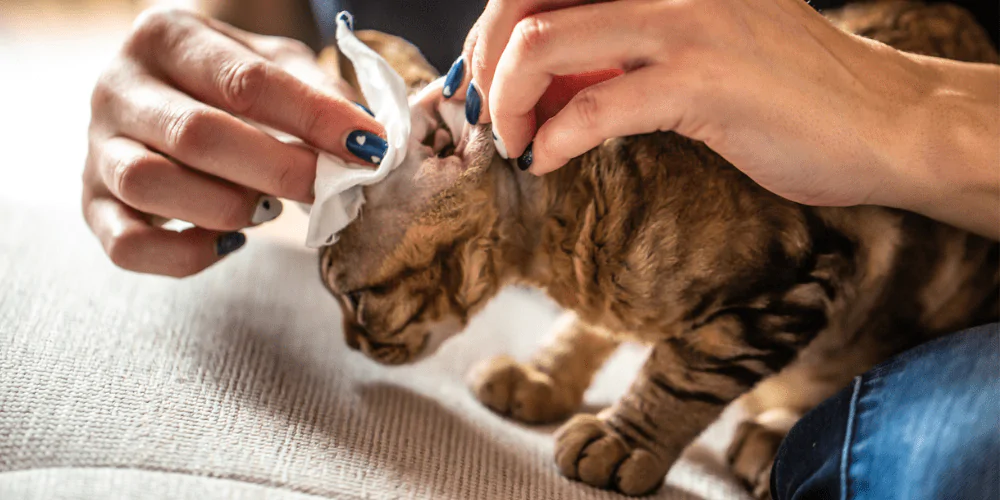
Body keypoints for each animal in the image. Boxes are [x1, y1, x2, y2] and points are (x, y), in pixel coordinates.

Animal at [320, 2, 1000, 496]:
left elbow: (684, 373)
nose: (350, 344)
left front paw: (626, 440)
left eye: (355, 301)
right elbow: (589, 329)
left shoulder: (806, 273)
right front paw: (545, 373)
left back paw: (768, 440)